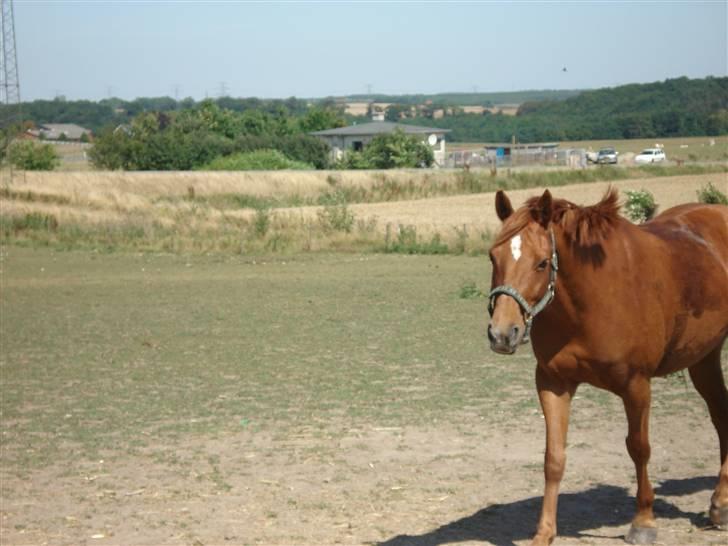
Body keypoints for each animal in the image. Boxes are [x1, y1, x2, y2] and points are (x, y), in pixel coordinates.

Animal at [486, 188, 724, 544]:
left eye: (542, 263)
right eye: (492, 257)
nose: (502, 334)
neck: (591, 299)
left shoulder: (636, 385)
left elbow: (639, 448)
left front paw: (643, 522)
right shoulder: (553, 382)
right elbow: (553, 457)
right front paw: (544, 532)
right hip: (704, 356)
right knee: (722, 413)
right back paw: (720, 503)